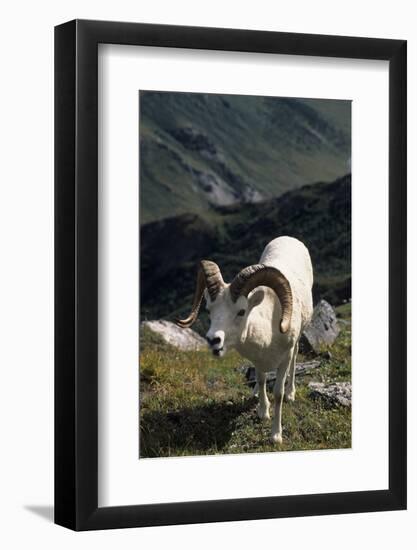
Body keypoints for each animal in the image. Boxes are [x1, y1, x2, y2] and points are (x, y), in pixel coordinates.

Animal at [176, 237, 312, 444]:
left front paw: (276, 436)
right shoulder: (258, 360)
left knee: (295, 359)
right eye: (209, 310)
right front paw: (263, 412)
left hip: (295, 345)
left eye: (241, 311)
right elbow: (262, 380)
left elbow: (278, 393)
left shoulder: (284, 358)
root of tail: (289, 238)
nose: (213, 340)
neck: (268, 330)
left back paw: (291, 393)